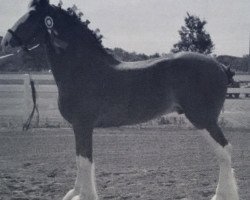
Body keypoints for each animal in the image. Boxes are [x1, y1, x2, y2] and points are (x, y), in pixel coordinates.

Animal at [0, 0, 240, 199]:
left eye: (32, 15)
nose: (6, 41)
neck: (83, 68)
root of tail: (219, 66)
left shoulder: (83, 125)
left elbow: (85, 161)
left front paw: (86, 195)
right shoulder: (79, 127)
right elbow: (79, 159)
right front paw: (75, 192)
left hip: (203, 119)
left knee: (225, 151)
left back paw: (222, 195)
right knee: (223, 152)